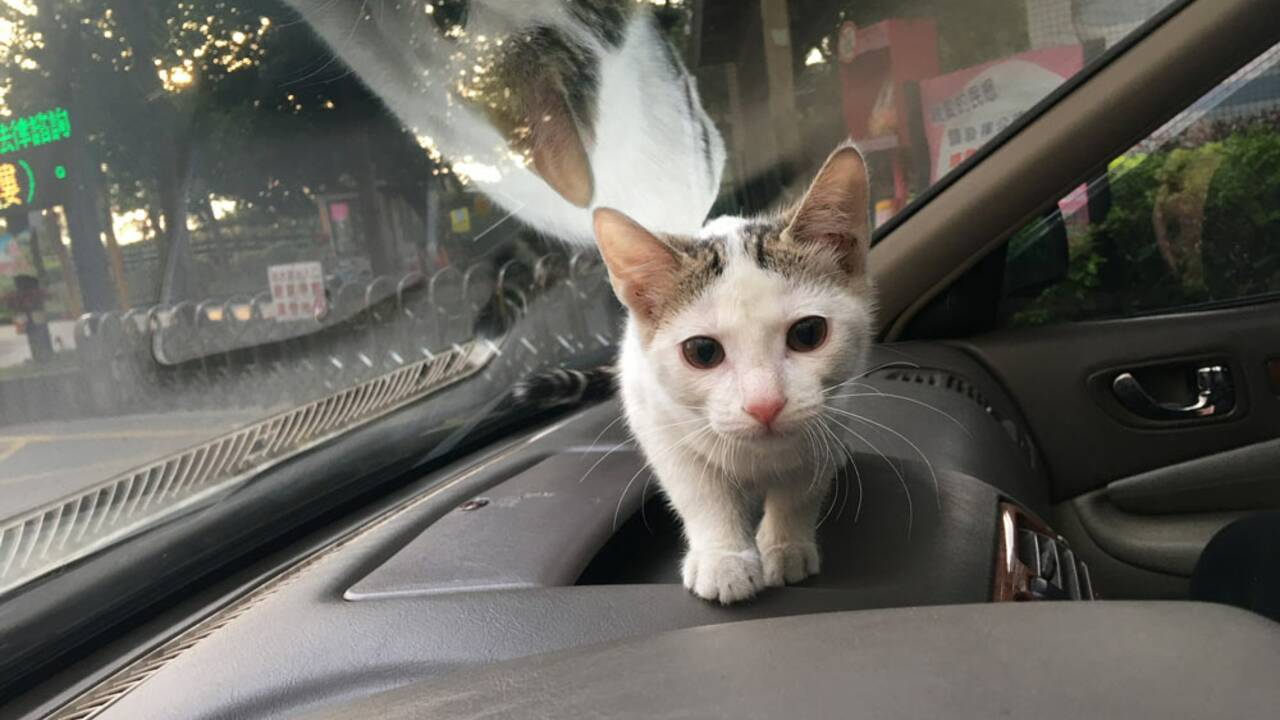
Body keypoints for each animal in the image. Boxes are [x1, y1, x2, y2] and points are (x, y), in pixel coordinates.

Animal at [591, 140, 875, 599]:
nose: (765, 405)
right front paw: (724, 557)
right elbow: (700, 492)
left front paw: (785, 545)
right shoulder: (656, 417)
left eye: (808, 333)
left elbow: (801, 486)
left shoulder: (835, 409)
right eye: (703, 351)